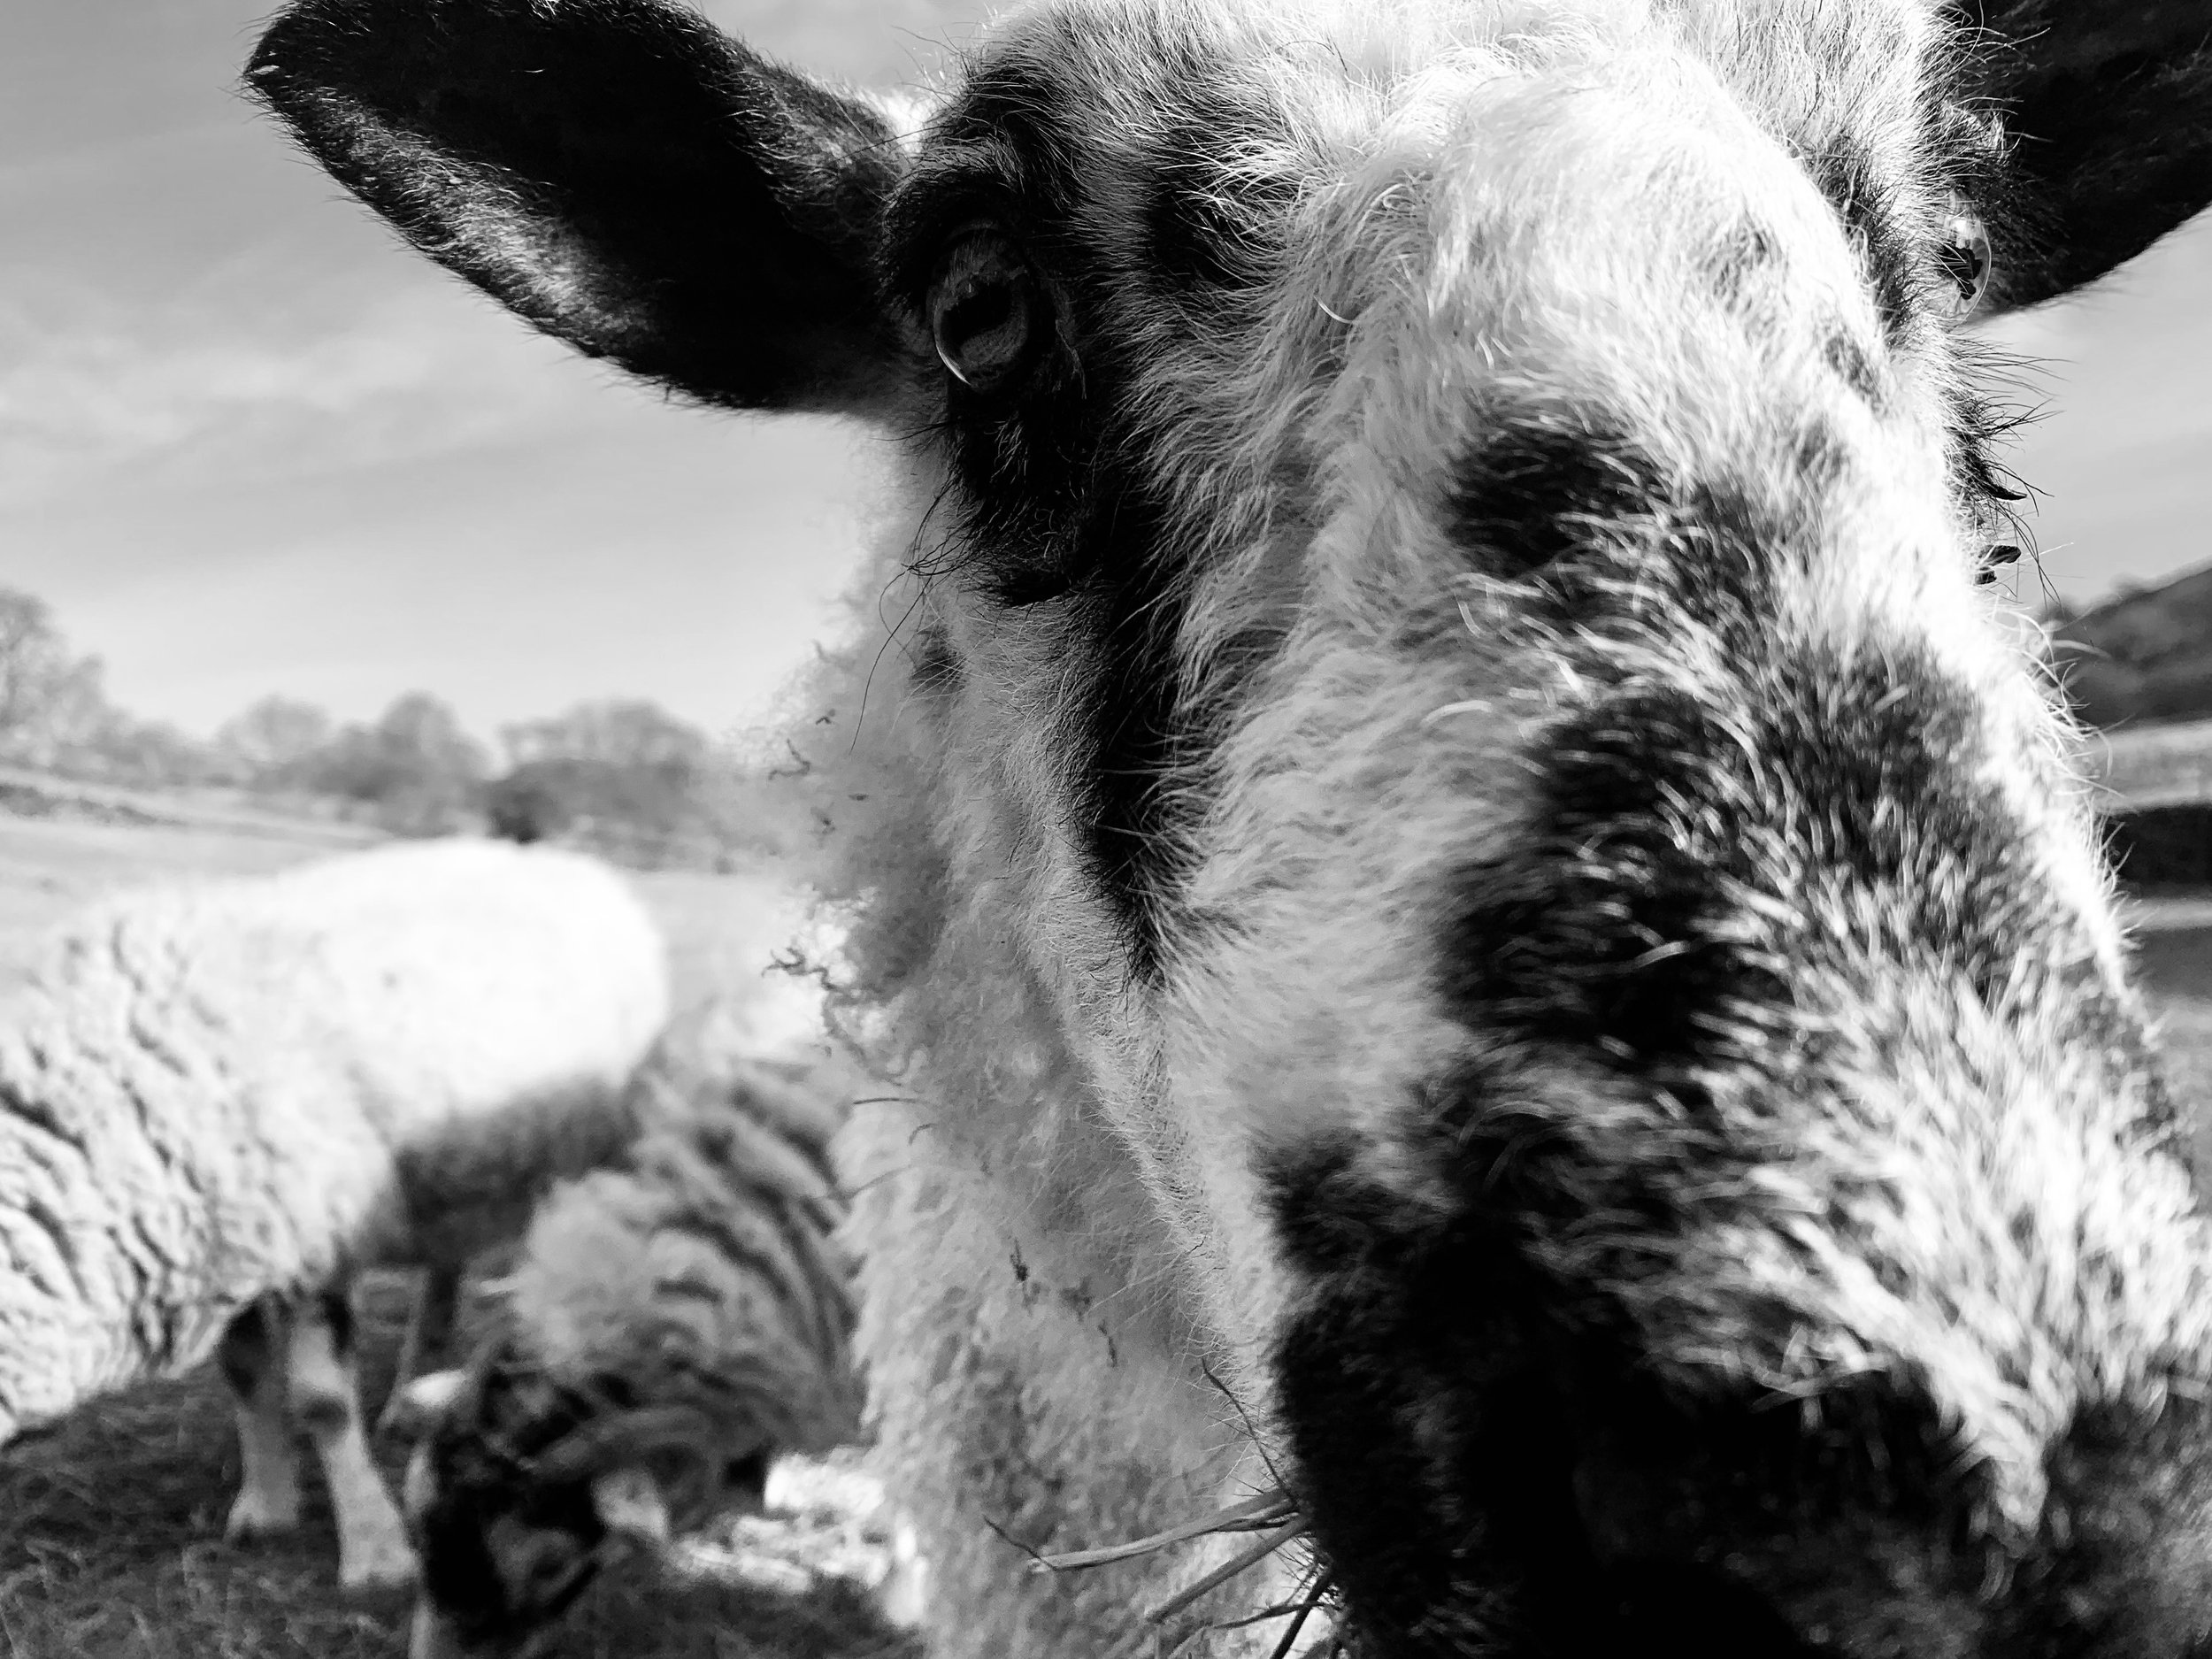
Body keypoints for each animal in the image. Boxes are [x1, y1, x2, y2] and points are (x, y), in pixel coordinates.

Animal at [0, 837, 670, 1591]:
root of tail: (561, 859)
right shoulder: (229, 1242)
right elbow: (246, 1372)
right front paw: (266, 1507)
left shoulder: (310, 1239)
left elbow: (321, 1399)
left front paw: (375, 1554)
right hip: (451, 1181)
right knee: (444, 1274)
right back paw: (409, 1397)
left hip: (585, 1154)